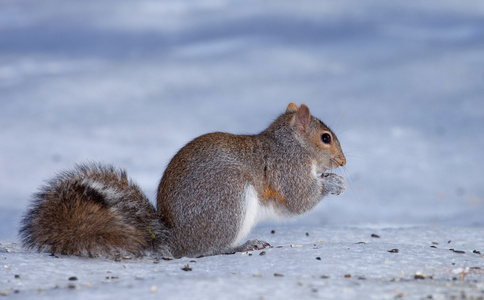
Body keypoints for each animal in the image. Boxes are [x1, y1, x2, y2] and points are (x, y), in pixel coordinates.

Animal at [18, 103, 344, 258]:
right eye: (325, 138)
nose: (343, 162)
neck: (290, 144)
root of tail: (176, 241)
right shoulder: (287, 168)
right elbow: (299, 199)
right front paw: (332, 184)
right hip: (229, 199)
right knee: (207, 249)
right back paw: (242, 245)